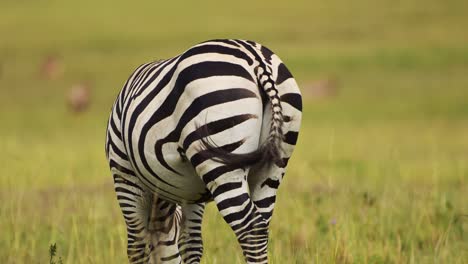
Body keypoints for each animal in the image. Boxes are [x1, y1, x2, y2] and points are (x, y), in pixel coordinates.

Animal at [105, 38, 304, 262]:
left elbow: (137, 246)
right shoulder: (191, 191)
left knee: (250, 228)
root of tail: (255, 58)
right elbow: (189, 243)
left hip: (220, 161)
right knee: (262, 223)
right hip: (273, 165)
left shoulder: (125, 175)